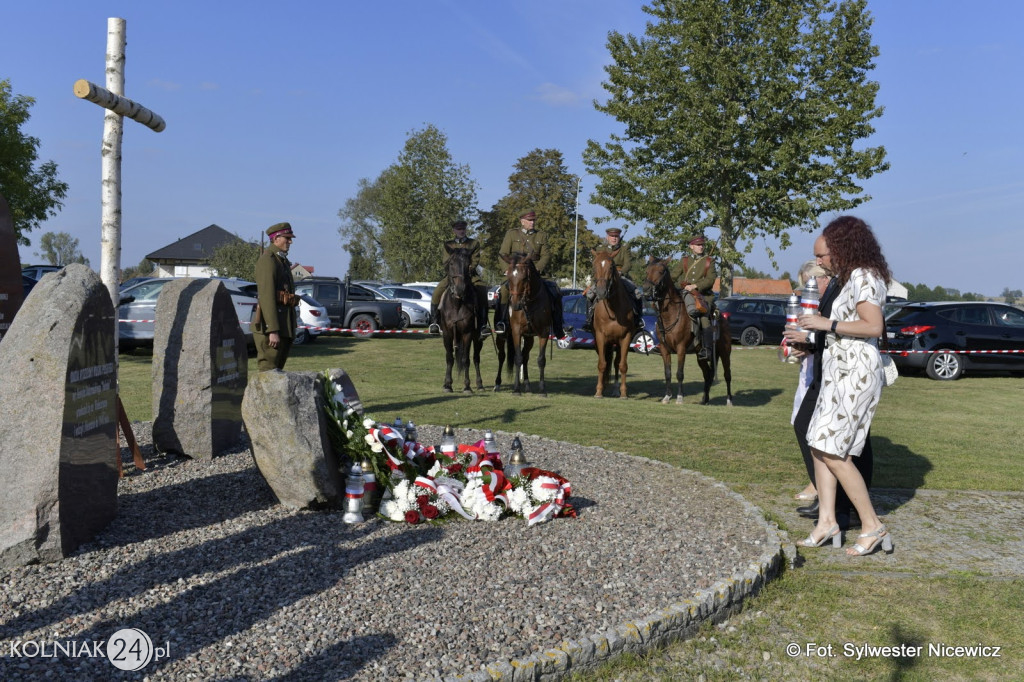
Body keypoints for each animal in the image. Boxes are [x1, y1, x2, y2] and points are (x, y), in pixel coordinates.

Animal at [438, 245, 485, 393]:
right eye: (451, 263)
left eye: (468, 265)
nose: (460, 289)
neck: (457, 304)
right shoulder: (447, 333)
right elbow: (449, 358)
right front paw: (447, 384)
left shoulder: (467, 334)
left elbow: (465, 359)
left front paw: (467, 386)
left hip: (477, 338)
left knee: (476, 358)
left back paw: (480, 384)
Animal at [495, 253, 552, 393]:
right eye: (509, 276)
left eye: (525, 278)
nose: (515, 304)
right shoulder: (516, 331)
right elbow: (517, 358)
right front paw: (516, 389)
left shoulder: (544, 332)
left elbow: (541, 359)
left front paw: (542, 390)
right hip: (501, 336)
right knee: (502, 356)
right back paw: (497, 383)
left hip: (529, 338)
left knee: (526, 357)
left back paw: (526, 383)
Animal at [589, 248, 634, 399]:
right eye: (594, 266)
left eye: (611, 267)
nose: (601, 292)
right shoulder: (600, 337)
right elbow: (602, 364)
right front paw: (598, 392)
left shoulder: (626, 337)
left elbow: (622, 365)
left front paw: (624, 393)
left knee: (616, 363)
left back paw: (615, 389)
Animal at [643, 254, 733, 403]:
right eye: (647, 270)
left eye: (661, 271)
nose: (646, 290)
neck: (670, 315)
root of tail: (723, 319)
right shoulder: (664, 350)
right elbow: (667, 373)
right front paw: (667, 396)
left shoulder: (681, 349)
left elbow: (679, 373)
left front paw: (679, 397)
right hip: (700, 357)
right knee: (708, 374)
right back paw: (704, 399)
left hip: (725, 353)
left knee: (727, 375)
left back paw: (729, 400)